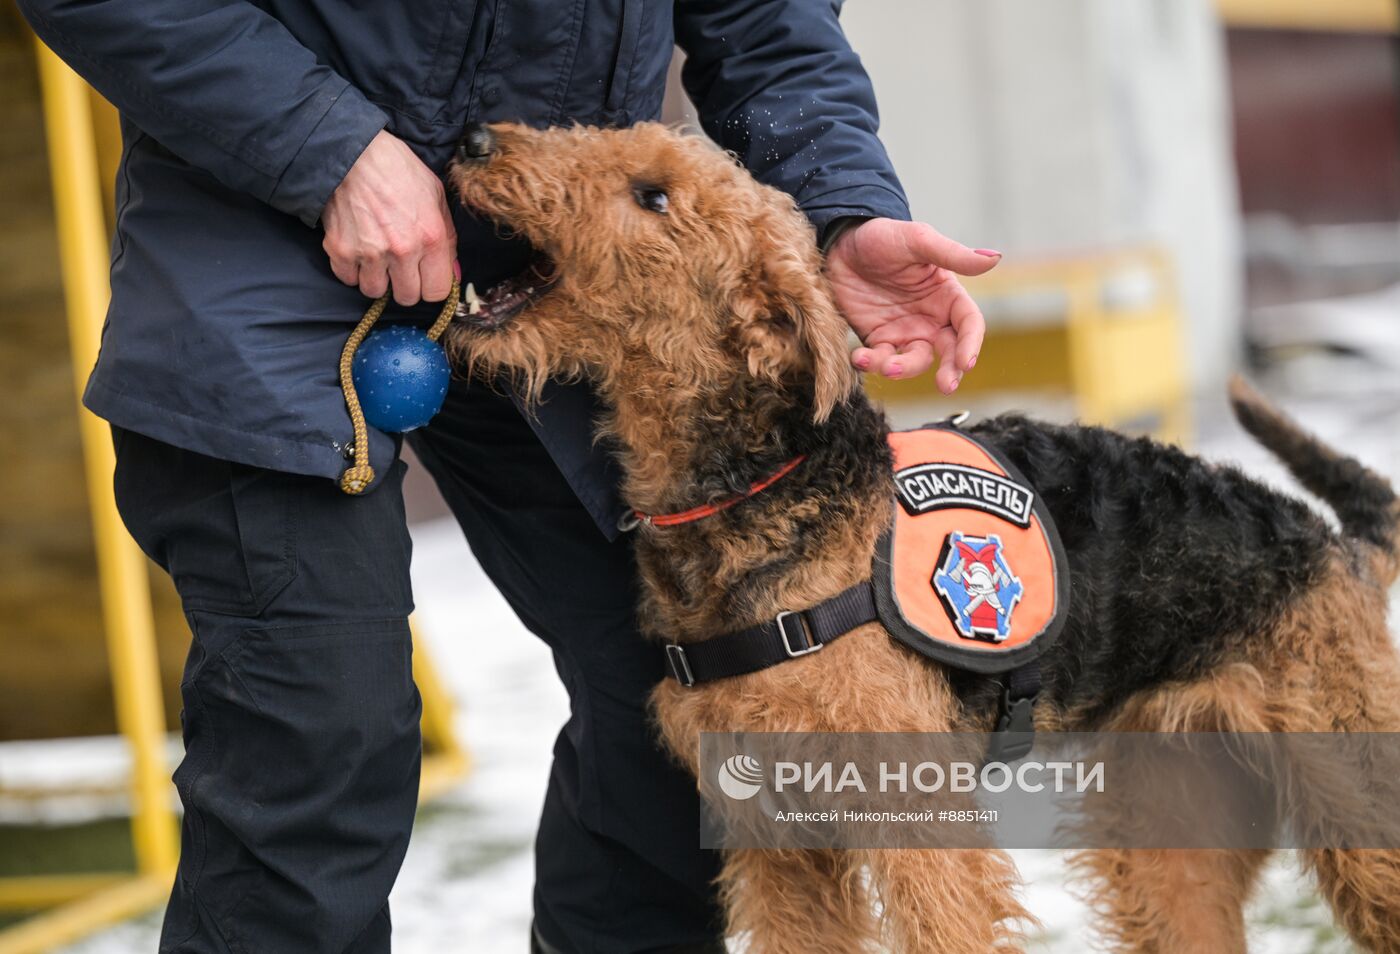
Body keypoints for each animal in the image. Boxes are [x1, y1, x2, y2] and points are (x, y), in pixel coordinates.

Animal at [442, 121, 1400, 952]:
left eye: (653, 195)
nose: (474, 140)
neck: (760, 485)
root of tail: (1336, 543)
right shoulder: (776, 836)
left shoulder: (911, 819)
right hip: (1170, 829)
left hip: (1354, 811)